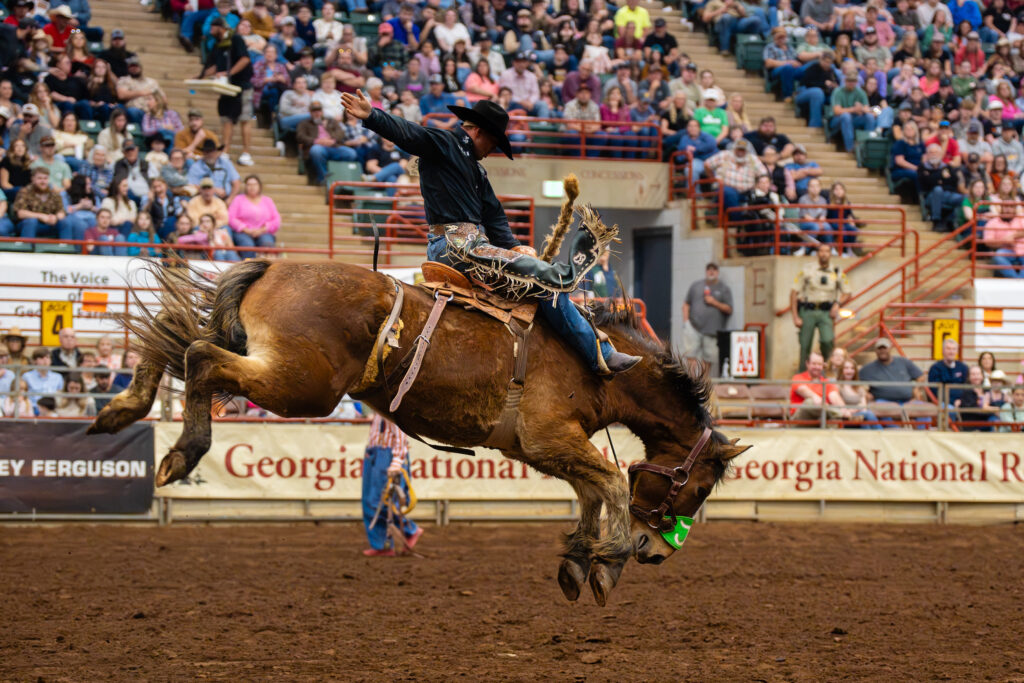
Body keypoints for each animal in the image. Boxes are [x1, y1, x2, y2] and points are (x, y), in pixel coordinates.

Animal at [88, 259, 750, 605]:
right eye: (699, 488)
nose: (654, 552)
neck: (601, 361)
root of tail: (275, 264)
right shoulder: (549, 438)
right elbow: (612, 482)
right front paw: (607, 563)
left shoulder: (543, 447)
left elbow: (591, 491)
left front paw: (579, 561)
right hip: (298, 384)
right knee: (198, 355)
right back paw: (179, 454)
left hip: (273, 365)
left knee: (174, 332)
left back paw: (120, 410)